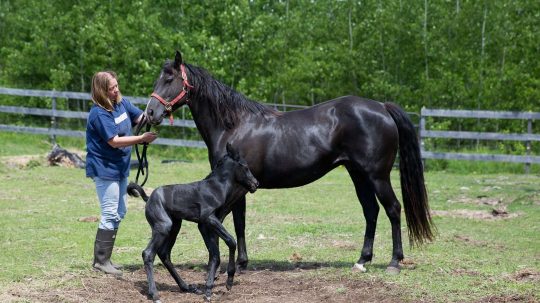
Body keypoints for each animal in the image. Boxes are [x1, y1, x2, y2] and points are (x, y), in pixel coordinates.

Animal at [129, 144, 260, 302]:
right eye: (245, 166)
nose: (256, 184)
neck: (215, 187)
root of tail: (148, 198)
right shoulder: (209, 218)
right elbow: (230, 241)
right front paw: (229, 281)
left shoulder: (204, 225)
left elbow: (215, 255)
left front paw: (208, 290)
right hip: (163, 227)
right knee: (148, 253)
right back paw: (155, 294)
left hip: (175, 226)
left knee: (164, 253)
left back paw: (186, 287)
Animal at [143, 51, 434, 274]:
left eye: (169, 78)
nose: (150, 113)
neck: (234, 125)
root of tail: (382, 108)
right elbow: (238, 223)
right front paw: (241, 262)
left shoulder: (235, 187)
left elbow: (232, 222)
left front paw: (234, 264)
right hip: (357, 174)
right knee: (371, 211)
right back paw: (362, 260)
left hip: (377, 176)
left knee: (393, 209)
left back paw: (394, 263)